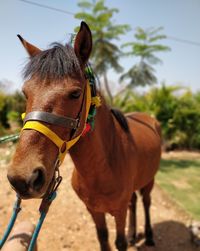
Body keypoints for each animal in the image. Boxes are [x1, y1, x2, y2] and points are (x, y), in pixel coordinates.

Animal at [7, 22, 162, 251]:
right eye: (25, 93)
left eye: (75, 93)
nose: (22, 177)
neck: (105, 167)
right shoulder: (94, 211)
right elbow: (103, 238)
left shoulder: (119, 211)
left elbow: (120, 242)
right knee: (135, 202)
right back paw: (135, 235)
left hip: (149, 181)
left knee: (146, 202)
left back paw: (149, 236)